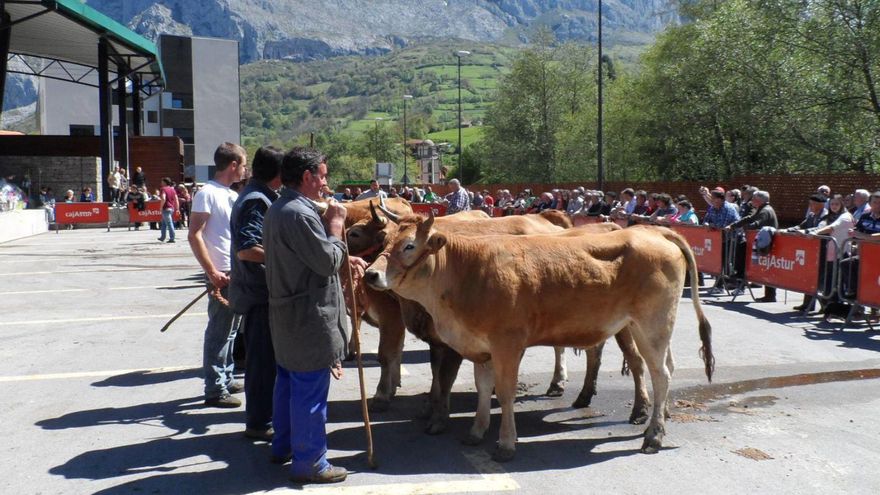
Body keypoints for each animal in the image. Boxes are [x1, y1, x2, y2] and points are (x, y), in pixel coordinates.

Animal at [364, 217, 716, 462]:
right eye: (384, 240)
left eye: (409, 245)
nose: (369, 273)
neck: (467, 274)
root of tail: (652, 231)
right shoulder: (481, 348)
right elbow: (483, 389)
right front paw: (476, 432)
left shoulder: (507, 345)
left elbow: (504, 394)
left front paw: (506, 444)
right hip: (655, 328)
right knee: (665, 369)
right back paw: (659, 418)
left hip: (649, 325)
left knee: (659, 374)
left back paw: (653, 435)